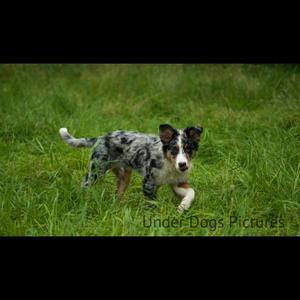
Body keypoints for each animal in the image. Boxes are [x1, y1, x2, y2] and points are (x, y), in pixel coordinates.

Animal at [59, 123, 203, 212]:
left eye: (188, 149)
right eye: (174, 150)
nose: (182, 164)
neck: (170, 165)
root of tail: (102, 137)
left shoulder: (178, 183)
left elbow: (191, 192)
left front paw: (182, 207)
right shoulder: (148, 183)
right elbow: (152, 204)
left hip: (124, 176)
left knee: (117, 195)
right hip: (96, 171)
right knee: (84, 186)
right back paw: (81, 202)